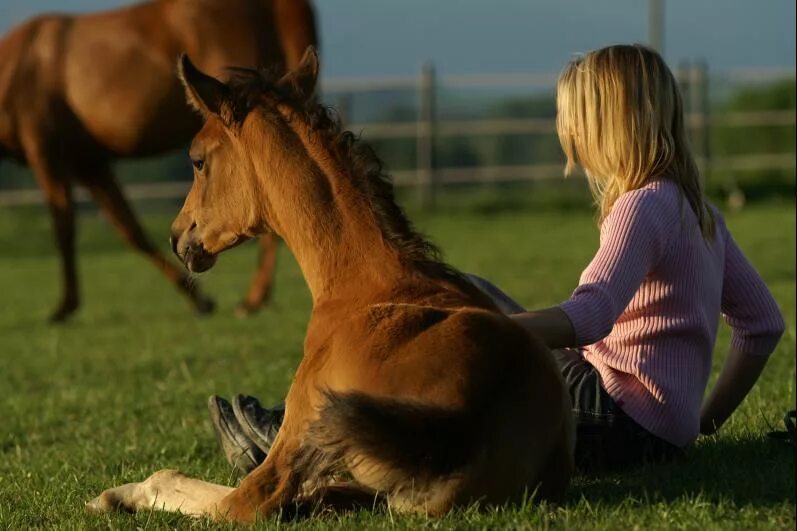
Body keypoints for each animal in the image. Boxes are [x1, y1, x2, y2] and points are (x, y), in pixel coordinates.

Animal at [0, 0, 316, 320]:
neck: (19, 64)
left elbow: (64, 228)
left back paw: (253, 299)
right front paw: (198, 298)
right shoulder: (89, 162)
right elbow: (131, 230)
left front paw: (64, 306)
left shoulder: (46, 151)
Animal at [85, 50, 572, 524]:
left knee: (244, 499)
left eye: (197, 160)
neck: (363, 285)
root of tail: (477, 402)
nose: (178, 236)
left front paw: (110, 496)